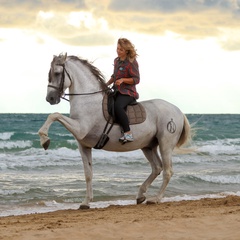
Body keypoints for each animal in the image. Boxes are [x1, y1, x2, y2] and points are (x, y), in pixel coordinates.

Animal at [38, 53, 192, 209]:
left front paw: (45, 139)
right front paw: (86, 202)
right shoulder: (84, 146)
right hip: (148, 146)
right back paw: (140, 195)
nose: (50, 98)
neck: (88, 99)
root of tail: (178, 111)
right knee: (157, 168)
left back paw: (156, 199)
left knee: (167, 171)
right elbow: (88, 174)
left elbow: (54, 115)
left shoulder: (80, 128)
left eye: (57, 73)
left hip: (165, 144)